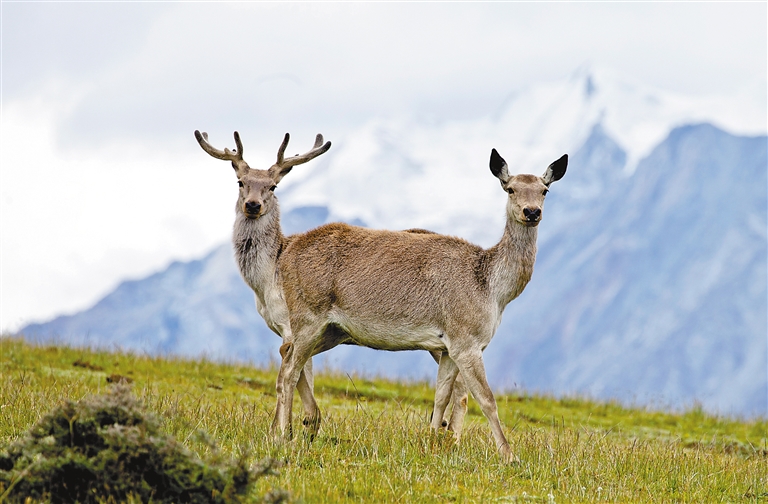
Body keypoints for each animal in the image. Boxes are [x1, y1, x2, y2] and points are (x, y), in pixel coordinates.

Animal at [192, 131, 468, 440]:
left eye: (273, 186)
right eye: (240, 181)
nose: (253, 204)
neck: (267, 279)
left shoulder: (292, 324)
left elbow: (294, 373)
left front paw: (286, 429)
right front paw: (300, 425)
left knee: (461, 389)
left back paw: (452, 437)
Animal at [272, 149, 568, 460]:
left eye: (544, 190)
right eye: (510, 188)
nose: (532, 212)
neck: (493, 291)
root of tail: (286, 254)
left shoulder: (448, 346)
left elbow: (441, 396)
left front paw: (431, 443)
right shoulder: (466, 339)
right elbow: (486, 399)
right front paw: (509, 455)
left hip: (332, 330)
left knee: (287, 355)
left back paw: (293, 428)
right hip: (308, 314)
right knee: (290, 369)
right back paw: (284, 435)